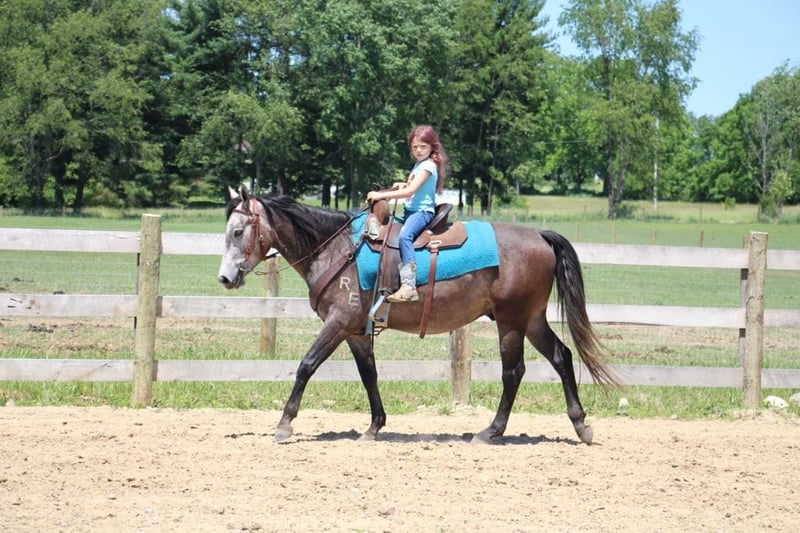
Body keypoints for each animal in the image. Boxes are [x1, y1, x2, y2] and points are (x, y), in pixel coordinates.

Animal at [217, 186, 617, 444]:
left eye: (237, 231)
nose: (225, 277)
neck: (336, 249)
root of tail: (539, 236)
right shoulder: (357, 331)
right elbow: (369, 375)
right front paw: (375, 426)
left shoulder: (338, 323)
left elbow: (306, 365)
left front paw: (284, 424)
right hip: (531, 320)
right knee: (561, 357)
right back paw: (581, 426)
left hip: (511, 322)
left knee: (513, 372)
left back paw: (491, 431)